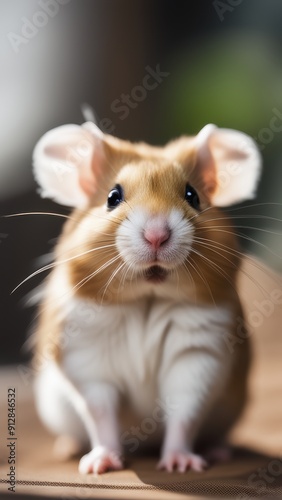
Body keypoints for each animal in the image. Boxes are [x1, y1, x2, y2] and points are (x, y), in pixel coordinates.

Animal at [31, 120, 262, 472]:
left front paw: (181, 464)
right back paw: (68, 448)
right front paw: (99, 465)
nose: (157, 236)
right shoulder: (85, 357)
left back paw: (218, 452)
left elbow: (185, 413)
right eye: (113, 197)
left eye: (192, 195)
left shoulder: (199, 355)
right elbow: (101, 413)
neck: (147, 298)